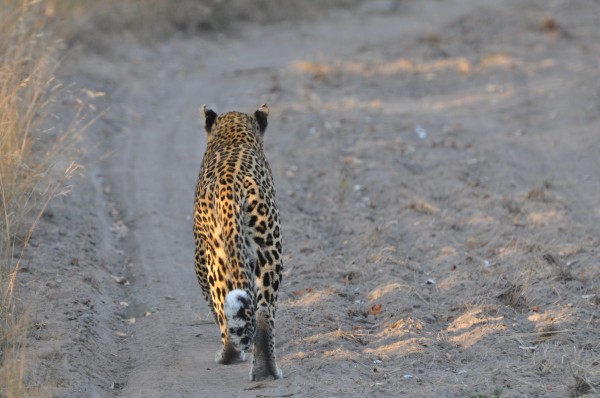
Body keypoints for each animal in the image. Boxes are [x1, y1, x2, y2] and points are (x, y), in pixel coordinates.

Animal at [193, 104, 284, 380]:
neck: (233, 134)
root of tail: (228, 187)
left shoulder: (200, 252)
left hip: (218, 257)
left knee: (224, 305)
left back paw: (227, 355)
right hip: (269, 249)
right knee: (263, 312)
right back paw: (266, 370)